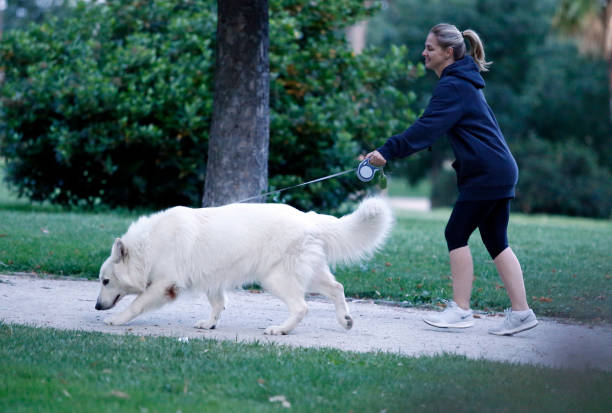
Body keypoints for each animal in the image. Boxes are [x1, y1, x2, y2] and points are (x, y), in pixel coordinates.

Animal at [95, 196, 392, 334]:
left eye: (105, 281)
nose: (97, 306)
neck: (148, 246)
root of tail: (309, 218)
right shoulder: (213, 280)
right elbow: (217, 305)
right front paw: (210, 324)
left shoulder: (164, 285)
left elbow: (136, 304)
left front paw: (116, 320)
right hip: (310, 274)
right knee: (336, 288)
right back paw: (345, 320)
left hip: (276, 278)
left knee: (302, 307)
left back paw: (280, 330)